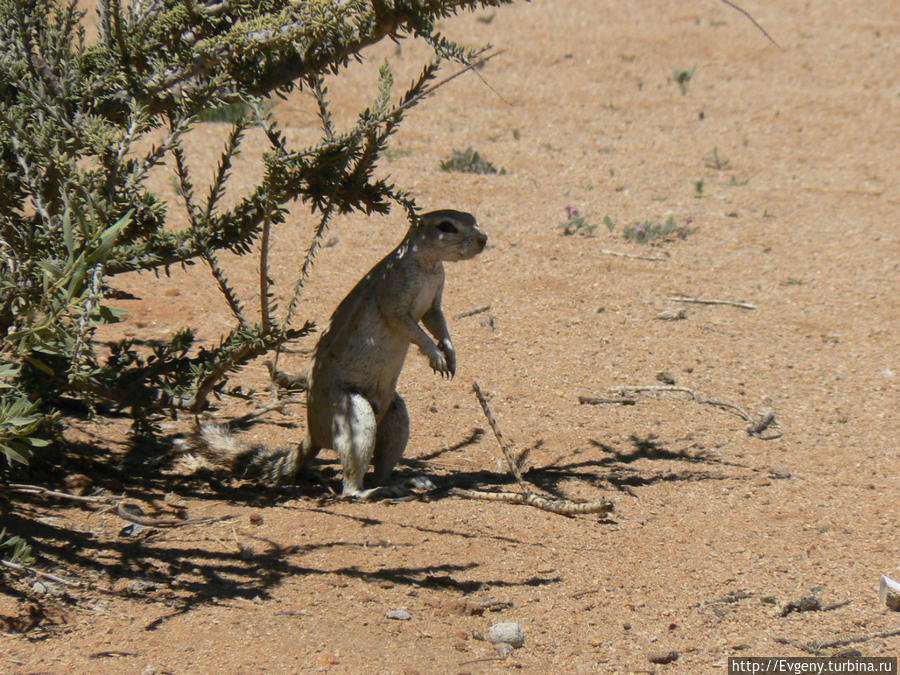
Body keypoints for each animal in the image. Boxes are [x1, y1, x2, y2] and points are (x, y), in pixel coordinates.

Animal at [189, 211, 486, 502]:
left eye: (472, 218)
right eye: (446, 226)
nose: (483, 239)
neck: (428, 266)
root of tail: (313, 434)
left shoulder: (435, 300)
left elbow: (437, 322)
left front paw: (450, 354)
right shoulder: (394, 297)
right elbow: (410, 326)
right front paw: (434, 354)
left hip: (395, 414)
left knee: (381, 465)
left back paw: (403, 481)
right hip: (356, 414)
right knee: (350, 488)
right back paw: (372, 491)